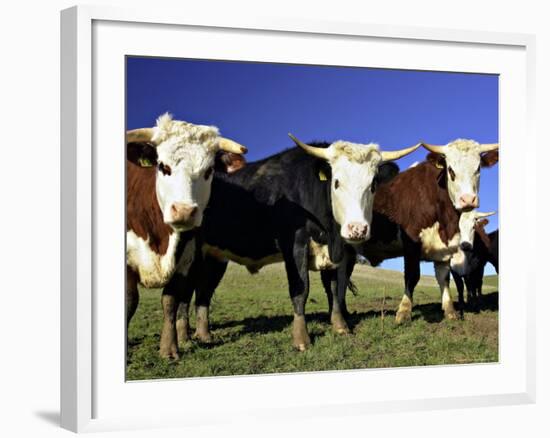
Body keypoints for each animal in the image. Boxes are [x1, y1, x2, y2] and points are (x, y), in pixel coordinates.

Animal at [126, 112, 247, 356]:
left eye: (209, 171)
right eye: (163, 166)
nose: (184, 211)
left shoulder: (184, 260)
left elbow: (171, 301)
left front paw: (169, 348)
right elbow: (130, 301)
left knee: (201, 294)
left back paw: (197, 335)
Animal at [160, 135, 422, 354]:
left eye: (373, 184)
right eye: (336, 182)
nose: (357, 229)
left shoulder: (333, 252)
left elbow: (334, 288)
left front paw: (340, 326)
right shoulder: (295, 245)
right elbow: (300, 289)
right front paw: (301, 338)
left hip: (213, 258)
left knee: (202, 292)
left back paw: (202, 335)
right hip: (188, 252)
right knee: (183, 292)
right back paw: (180, 341)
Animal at [328, 139, 500, 326]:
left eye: (478, 168)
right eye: (451, 170)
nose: (468, 200)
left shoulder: (444, 250)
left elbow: (444, 279)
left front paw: (450, 311)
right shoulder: (411, 243)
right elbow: (412, 276)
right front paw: (404, 312)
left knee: (342, 278)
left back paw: (344, 313)